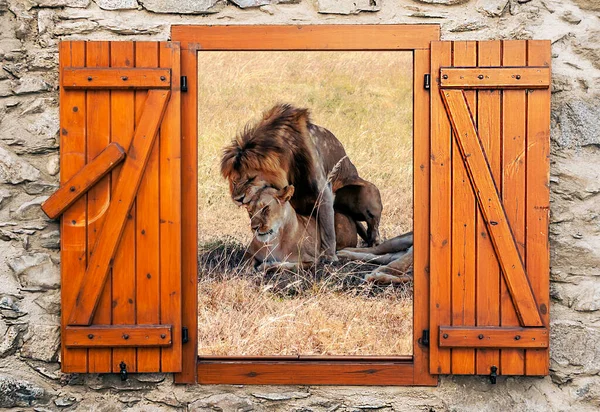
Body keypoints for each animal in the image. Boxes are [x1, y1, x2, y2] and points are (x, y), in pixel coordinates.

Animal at [221, 104, 384, 260]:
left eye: (251, 179)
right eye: (234, 182)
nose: (238, 199)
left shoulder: (323, 190)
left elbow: (327, 229)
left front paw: (329, 257)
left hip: (368, 192)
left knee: (373, 226)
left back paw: (373, 243)